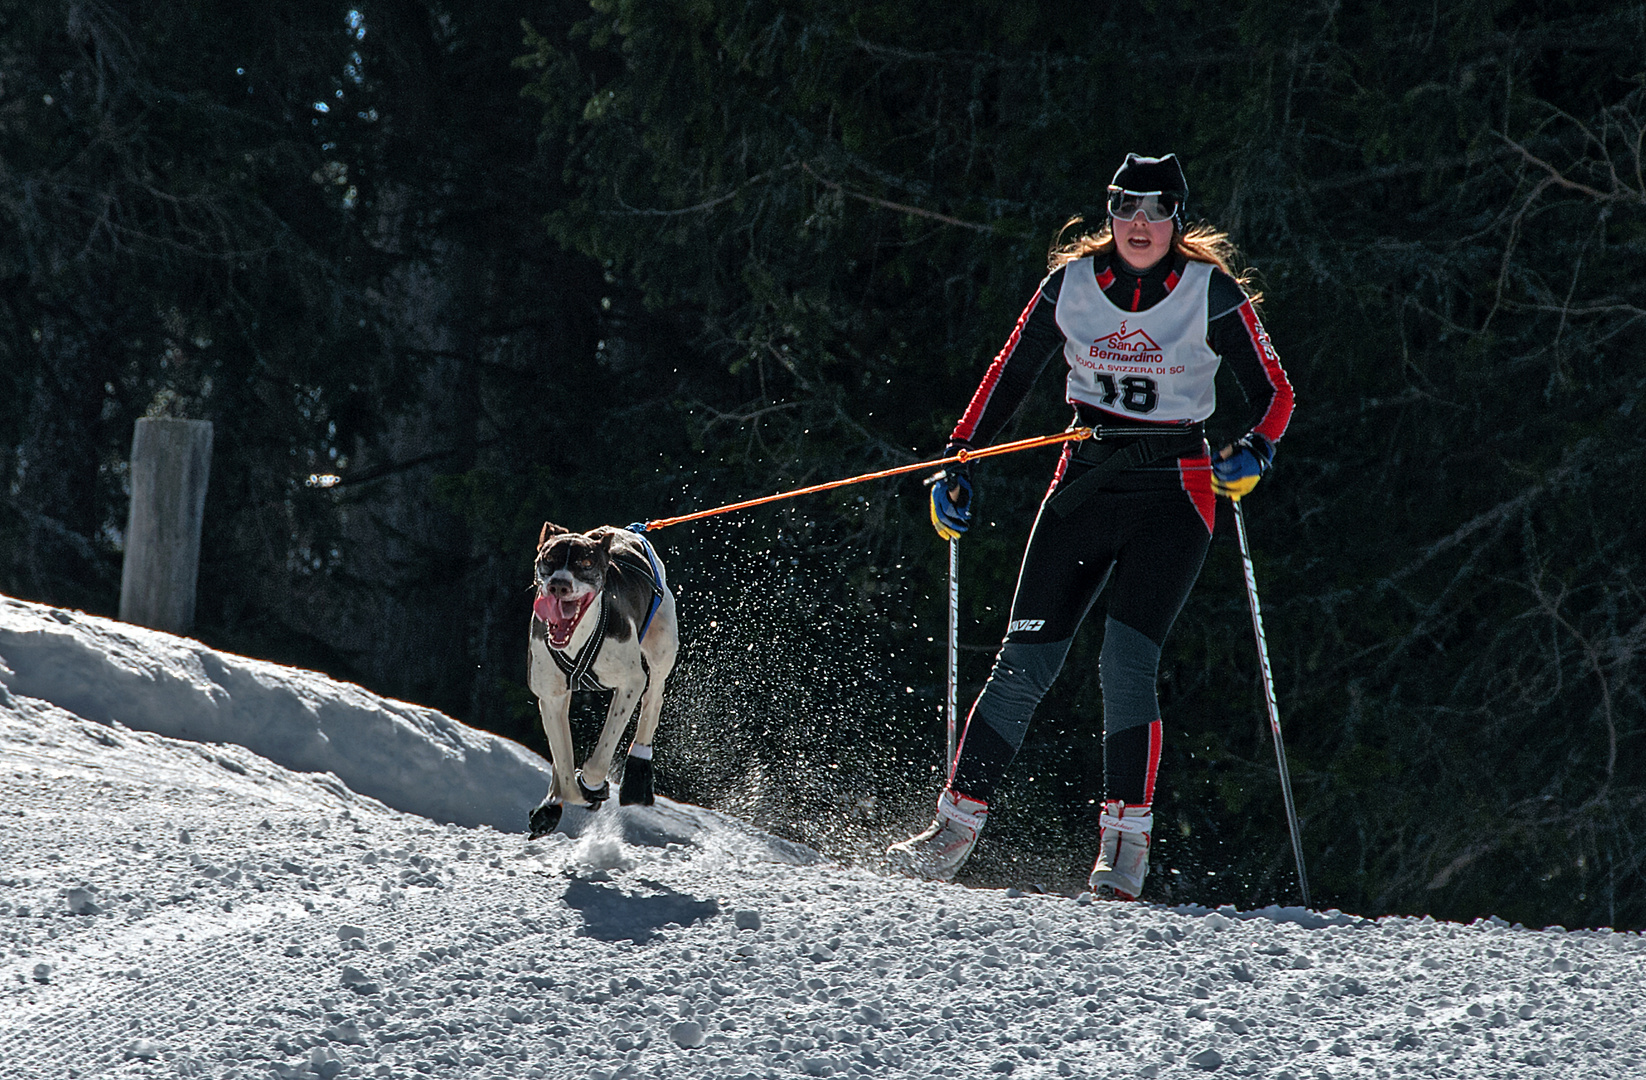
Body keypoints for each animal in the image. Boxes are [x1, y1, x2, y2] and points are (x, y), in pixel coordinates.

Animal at [530, 520, 678, 839]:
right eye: (549, 557)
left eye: (585, 563)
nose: (559, 584)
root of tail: (628, 531)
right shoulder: (550, 697)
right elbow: (564, 766)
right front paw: (561, 798)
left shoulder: (630, 684)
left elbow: (599, 761)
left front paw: (592, 785)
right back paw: (551, 804)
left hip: (662, 646)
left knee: (654, 697)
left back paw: (637, 774)